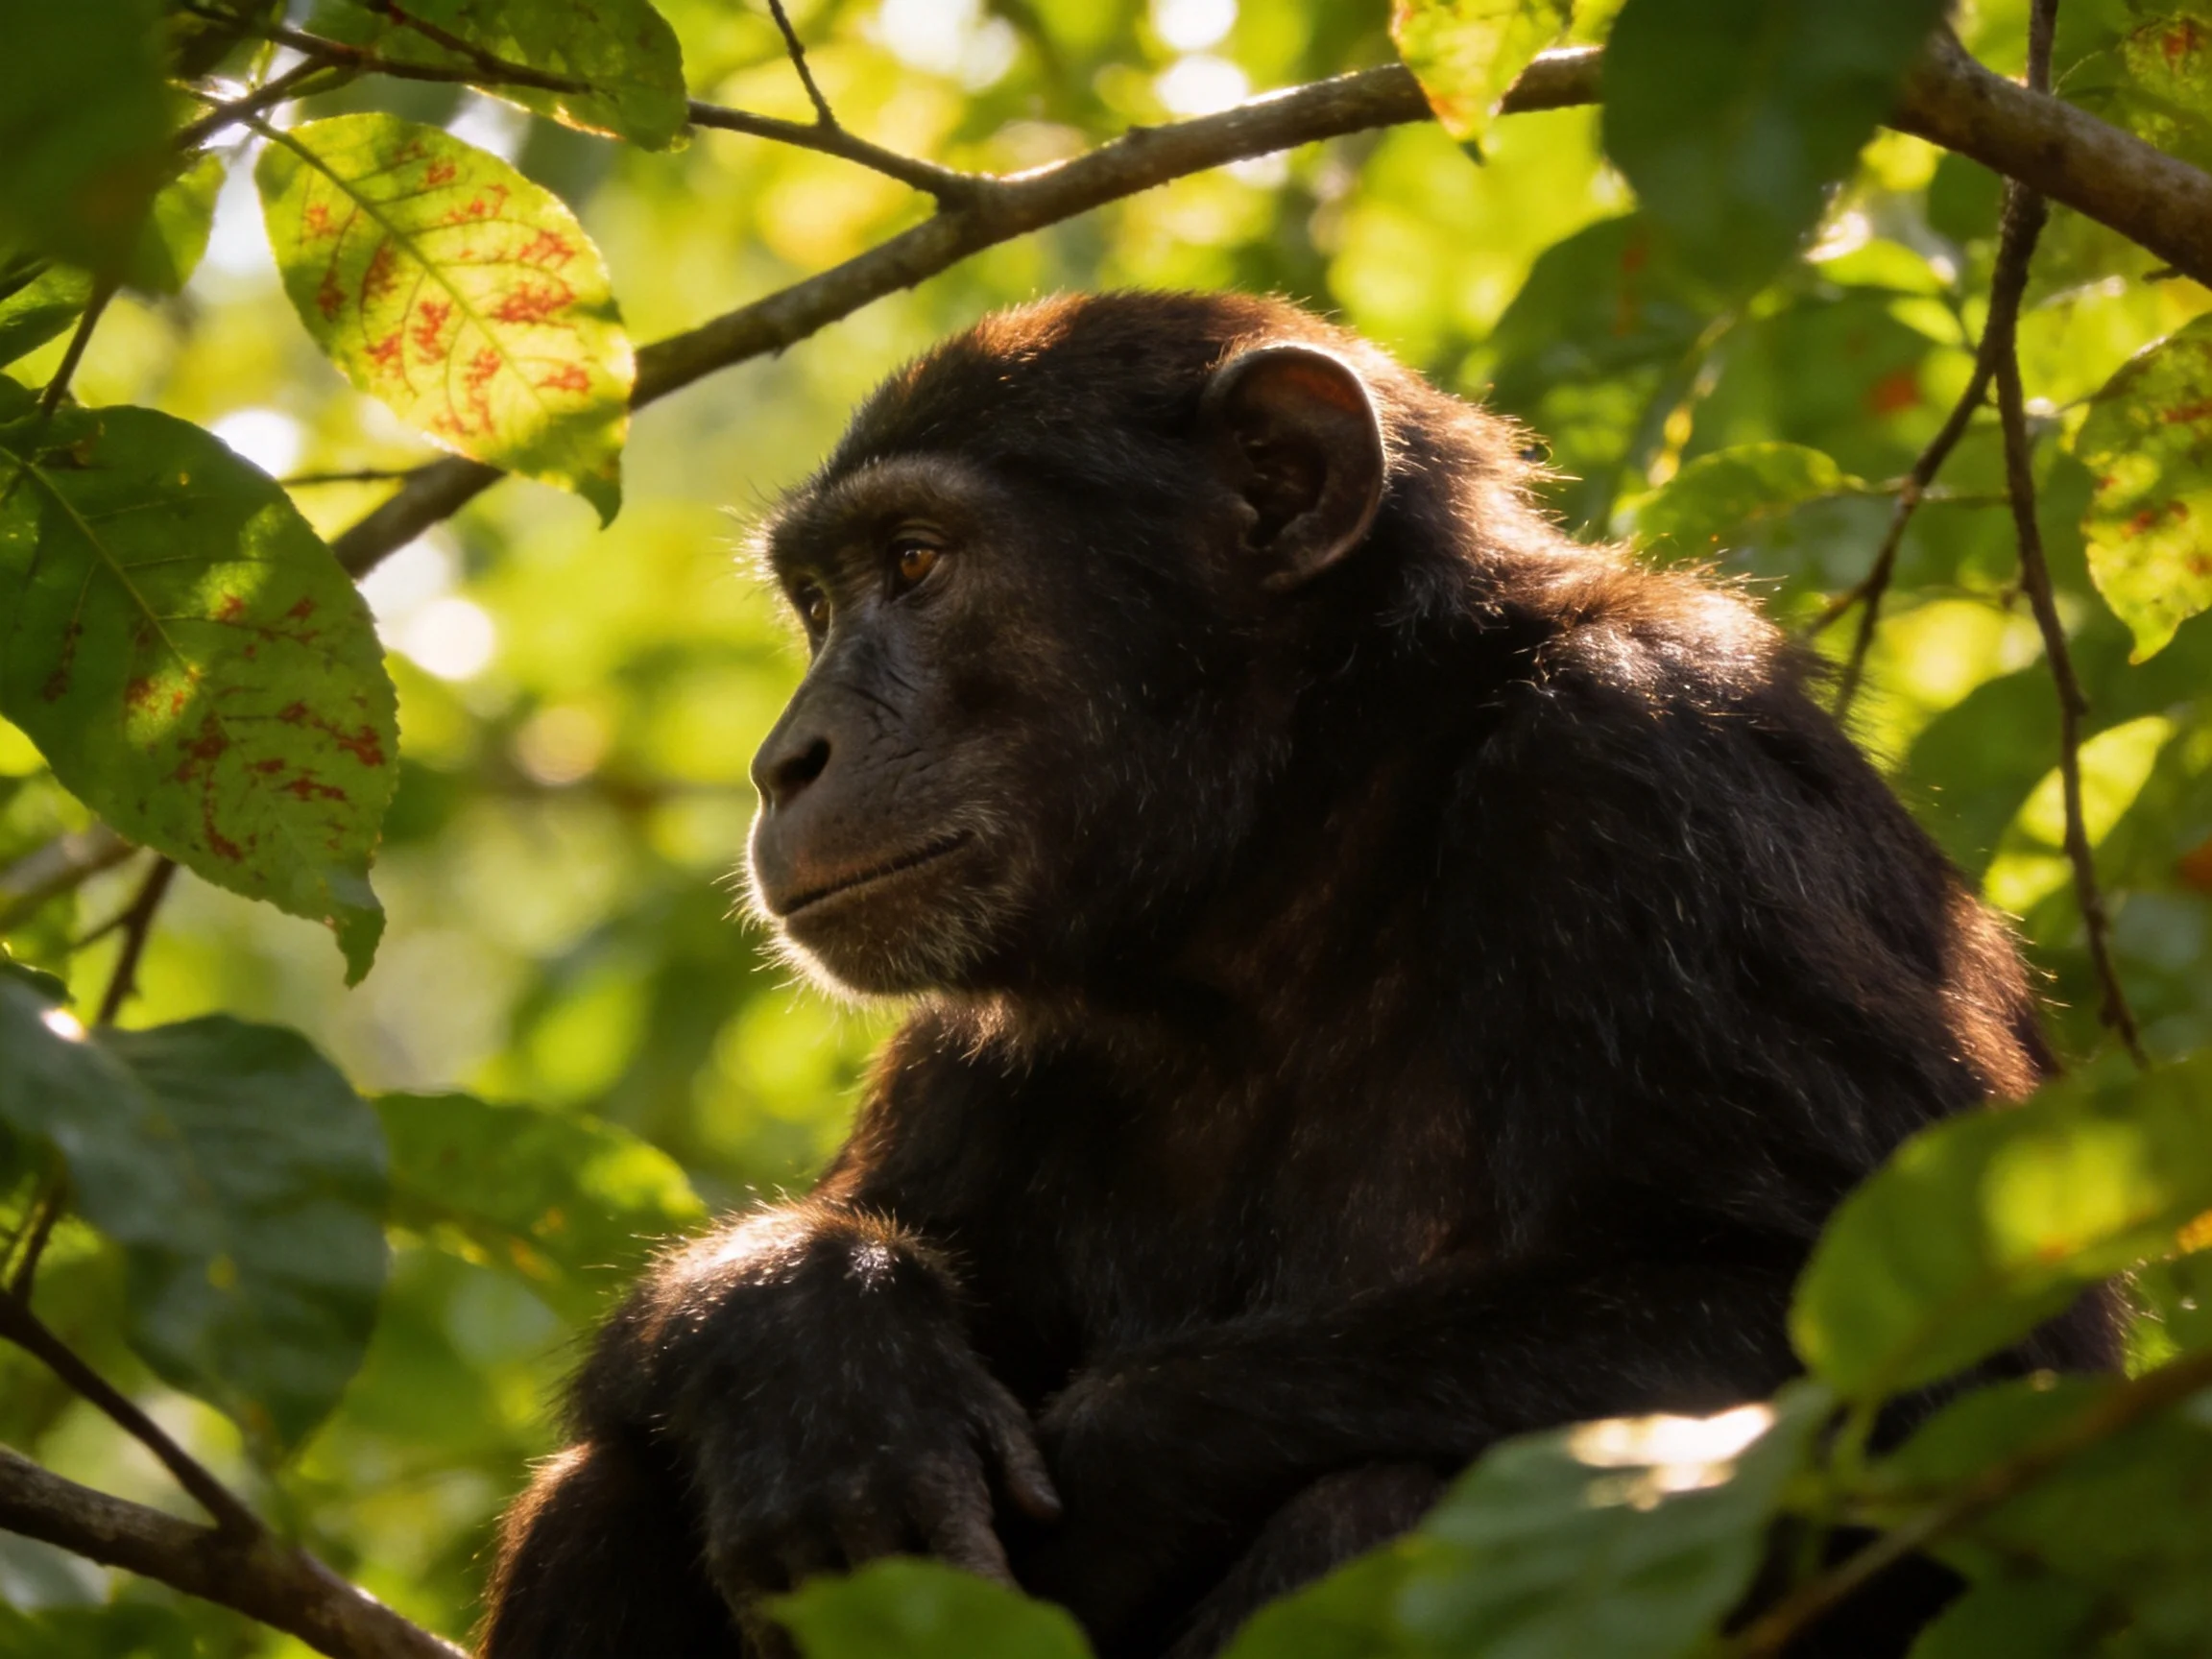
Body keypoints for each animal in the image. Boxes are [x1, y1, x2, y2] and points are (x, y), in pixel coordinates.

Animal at [479, 290, 2114, 1659]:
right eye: (819, 607)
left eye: (919, 565)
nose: (789, 756)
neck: (1296, 834)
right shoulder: (970, 1041)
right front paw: (811, 1344)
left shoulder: (1653, 767)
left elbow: (1928, 1359)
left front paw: (1112, 1464)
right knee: (608, 1497)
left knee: (1386, 1501)